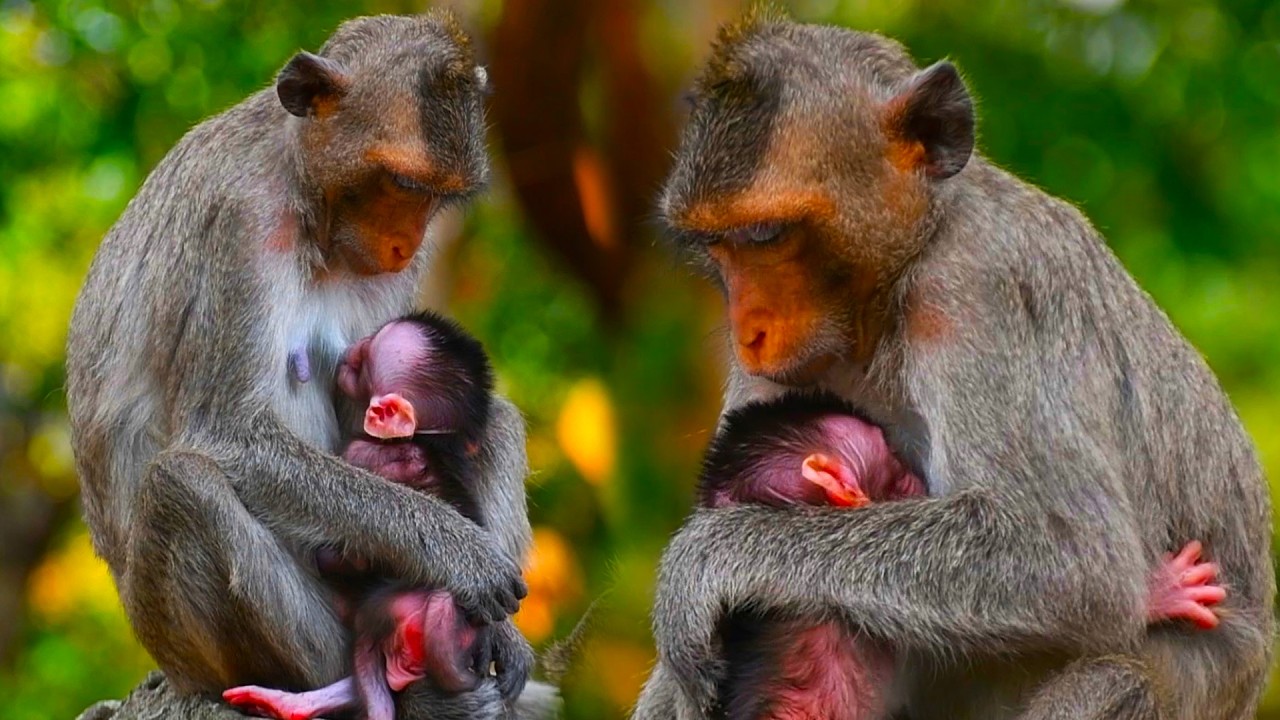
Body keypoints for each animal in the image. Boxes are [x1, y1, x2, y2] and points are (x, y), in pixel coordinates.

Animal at [64, 13, 558, 719]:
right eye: (400, 184)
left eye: (438, 197)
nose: (404, 243)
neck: (301, 188)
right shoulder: (239, 219)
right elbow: (228, 434)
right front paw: (456, 551)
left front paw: (505, 631)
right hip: (197, 647)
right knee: (182, 483)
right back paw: (348, 689)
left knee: (496, 420)